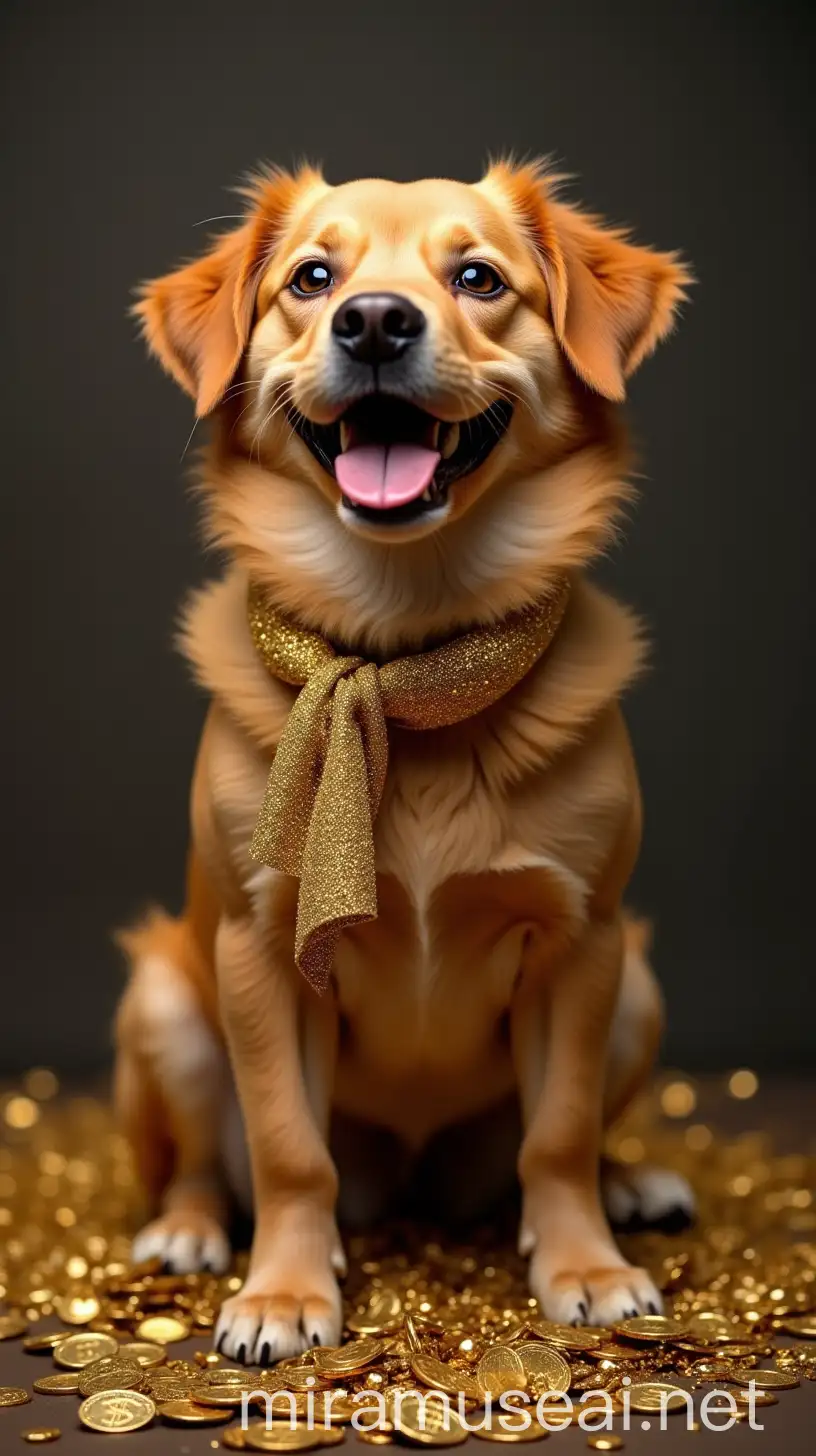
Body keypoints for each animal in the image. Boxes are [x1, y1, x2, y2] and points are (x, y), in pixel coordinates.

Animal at [116, 159, 693, 1362]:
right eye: (311, 277)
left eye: (478, 278)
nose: (375, 320)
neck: (400, 654)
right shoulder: (260, 955)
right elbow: (288, 1148)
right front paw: (283, 1292)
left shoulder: (581, 948)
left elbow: (558, 1133)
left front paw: (584, 1265)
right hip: (165, 1005)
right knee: (200, 1159)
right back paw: (191, 1228)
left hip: (638, 990)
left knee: (572, 1140)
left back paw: (630, 1186)